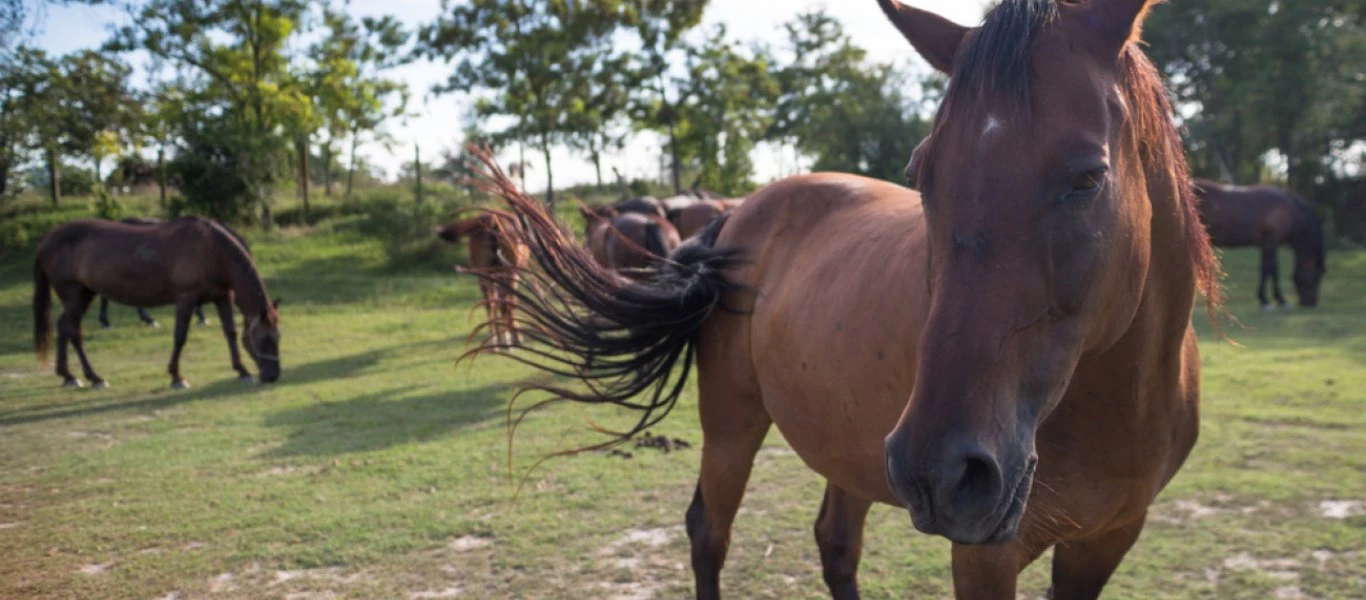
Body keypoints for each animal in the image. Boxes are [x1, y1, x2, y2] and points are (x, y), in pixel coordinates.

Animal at [33, 215, 277, 390]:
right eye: (265, 339)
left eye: (278, 337)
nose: (273, 375)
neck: (211, 248)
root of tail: (46, 239)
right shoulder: (186, 299)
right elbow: (180, 336)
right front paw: (177, 377)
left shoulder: (222, 297)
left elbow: (230, 333)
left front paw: (242, 371)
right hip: (74, 296)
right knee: (71, 329)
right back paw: (92, 378)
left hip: (84, 295)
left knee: (66, 328)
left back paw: (70, 376)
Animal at [464, 0, 1223, 598]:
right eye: (923, 173)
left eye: (1088, 177)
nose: (942, 471)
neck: (1116, 403)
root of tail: (735, 217)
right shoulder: (987, 557)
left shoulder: (1106, 542)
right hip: (734, 427)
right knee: (709, 533)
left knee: (834, 545)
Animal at [1196, 179, 1322, 310]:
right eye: (1317, 276)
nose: (1310, 303)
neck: (1289, 209)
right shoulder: (1271, 242)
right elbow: (1271, 270)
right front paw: (1276, 300)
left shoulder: (1267, 244)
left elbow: (1268, 270)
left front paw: (1268, 299)